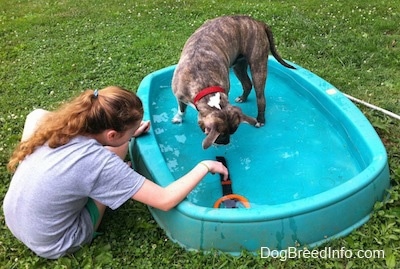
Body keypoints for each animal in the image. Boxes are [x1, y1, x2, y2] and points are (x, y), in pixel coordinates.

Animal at [170, 15, 296, 149]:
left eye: (231, 132)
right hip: (238, 66)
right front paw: (178, 117)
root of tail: (258, 22)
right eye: (221, 135)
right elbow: (181, 109)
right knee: (247, 84)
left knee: (260, 97)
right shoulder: (180, 95)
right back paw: (243, 98)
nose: (226, 143)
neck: (204, 83)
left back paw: (260, 119)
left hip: (258, 66)